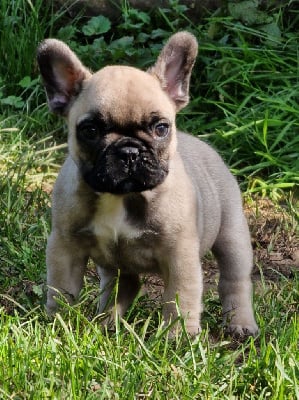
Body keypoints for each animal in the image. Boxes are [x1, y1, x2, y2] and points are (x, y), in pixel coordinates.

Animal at [36, 31, 258, 336]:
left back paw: (241, 323)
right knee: (123, 285)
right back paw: (108, 321)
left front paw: (178, 337)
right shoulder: (65, 247)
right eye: (90, 130)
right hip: (115, 265)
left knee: (235, 279)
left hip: (232, 234)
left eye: (161, 128)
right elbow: (62, 290)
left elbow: (180, 299)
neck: (122, 197)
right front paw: (59, 325)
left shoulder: (180, 257)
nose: (129, 151)